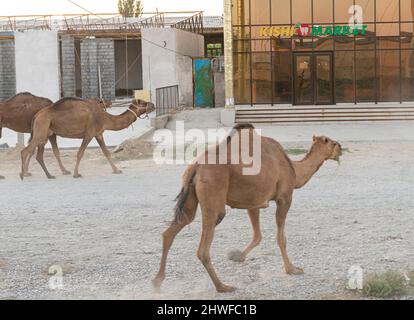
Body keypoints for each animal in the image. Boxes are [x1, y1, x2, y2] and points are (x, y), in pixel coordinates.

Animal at [19, 96, 155, 179]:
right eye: (143, 102)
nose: (153, 105)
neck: (104, 118)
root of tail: (36, 115)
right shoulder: (89, 134)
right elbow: (80, 153)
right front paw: (76, 174)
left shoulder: (99, 134)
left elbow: (106, 152)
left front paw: (117, 170)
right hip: (42, 129)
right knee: (26, 151)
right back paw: (23, 174)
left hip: (47, 132)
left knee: (38, 153)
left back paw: (50, 175)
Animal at [153, 123, 342, 292]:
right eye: (332, 142)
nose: (340, 148)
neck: (294, 170)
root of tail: (196, 167)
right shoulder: (285, 197)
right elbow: (281, 238)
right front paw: (292, 269)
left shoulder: (254, 202)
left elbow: (257, 235)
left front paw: (238, 256)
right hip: (214, 194)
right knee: (204, 248)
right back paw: (223, 287)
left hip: (190, 196)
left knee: (171, 231)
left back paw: (157, 281)